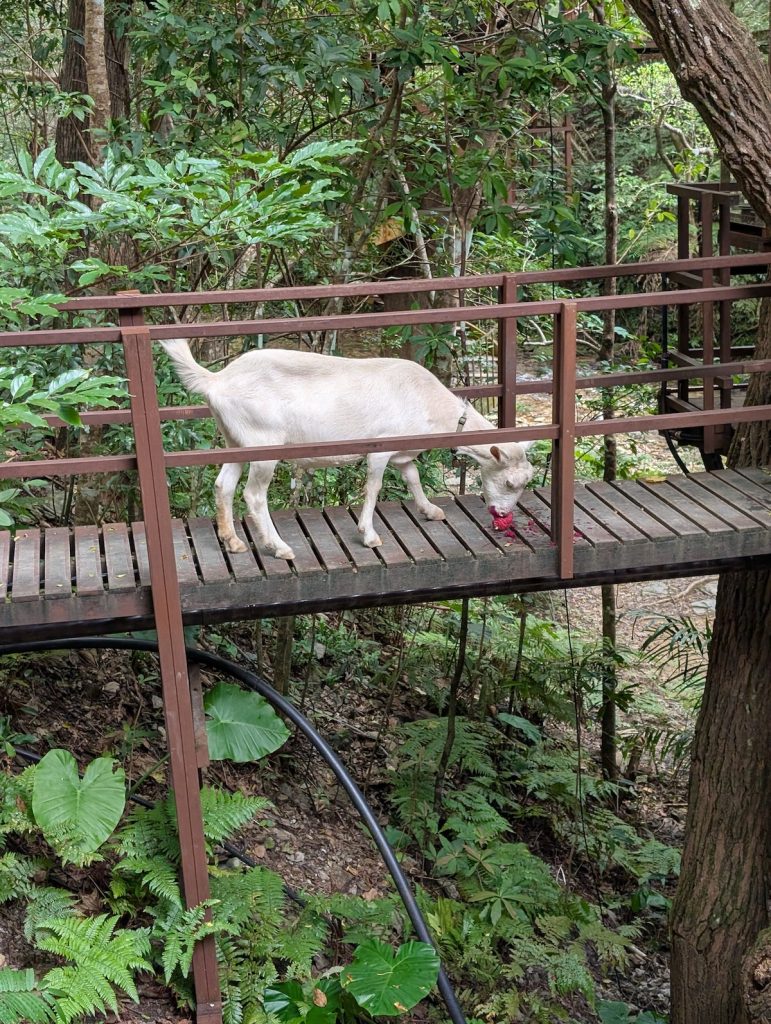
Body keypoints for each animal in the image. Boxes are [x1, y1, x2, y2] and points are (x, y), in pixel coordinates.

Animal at [161, 340, 534, 560]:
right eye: (509, 482)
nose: (501, 515)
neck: (430, 403)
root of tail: (216, 380)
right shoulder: (381, 448)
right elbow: (374, 488)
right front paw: (369, 535)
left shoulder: (402, 452)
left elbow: (412, 477)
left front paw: (430, 510)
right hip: (263, 443)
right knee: (253, 495)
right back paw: (279, 547)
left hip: (234, 439)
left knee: (223, 484)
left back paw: (232, 541)